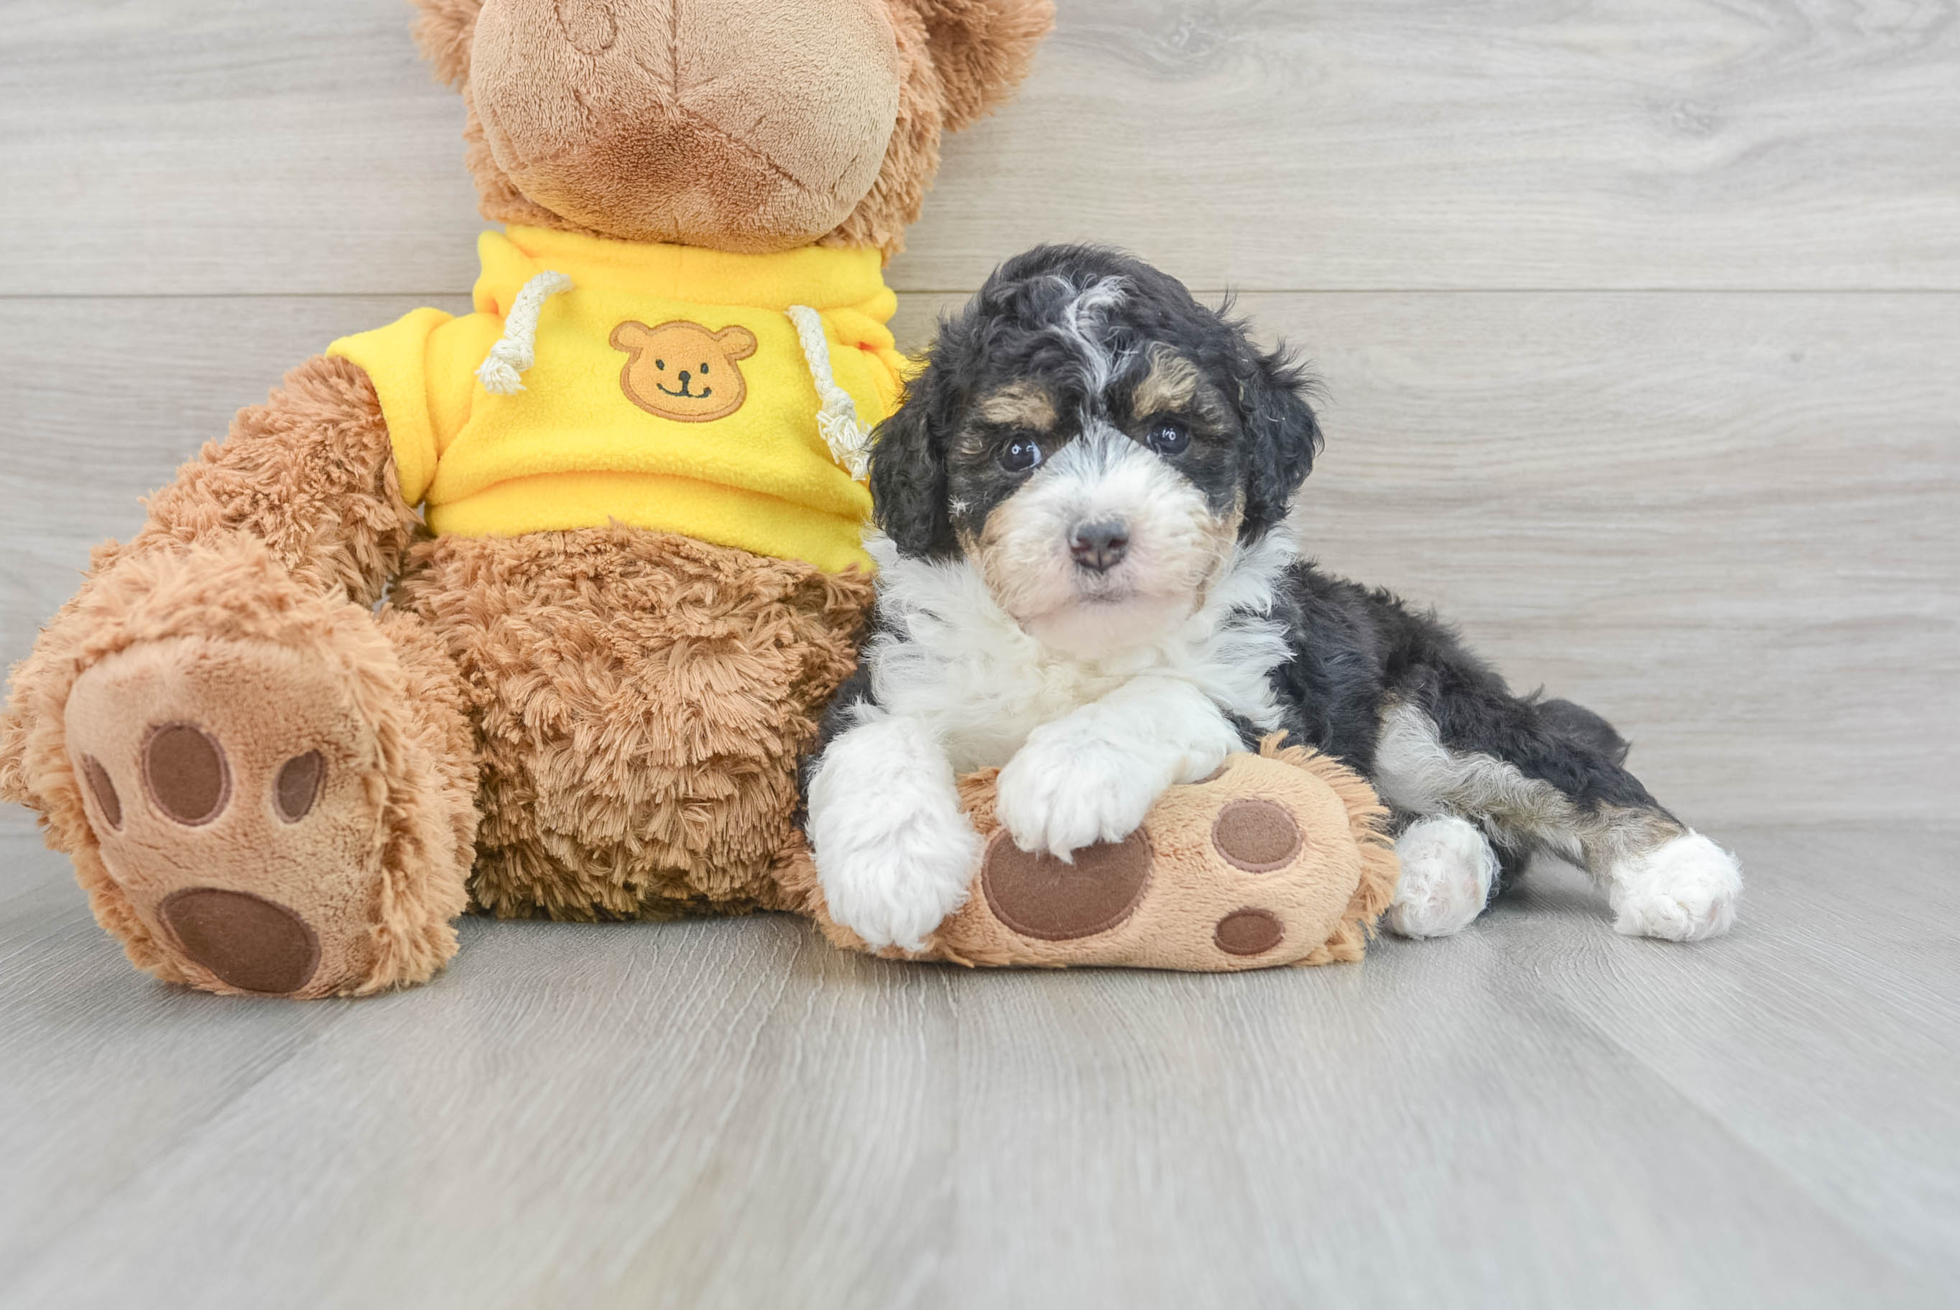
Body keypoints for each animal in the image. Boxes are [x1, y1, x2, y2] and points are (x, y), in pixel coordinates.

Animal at [803, 245, 1740, 953]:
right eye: (1018, 451)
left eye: (1170, 434)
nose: (1100, 536)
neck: (1083, 652)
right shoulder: (892, 674)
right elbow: (870, 740)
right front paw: (892, 871)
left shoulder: (1274, 702)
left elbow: (1167, 694)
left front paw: (1068, 770)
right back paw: (1428, 874)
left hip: (1417, 711)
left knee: (1552, 770)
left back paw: (1681, 875)